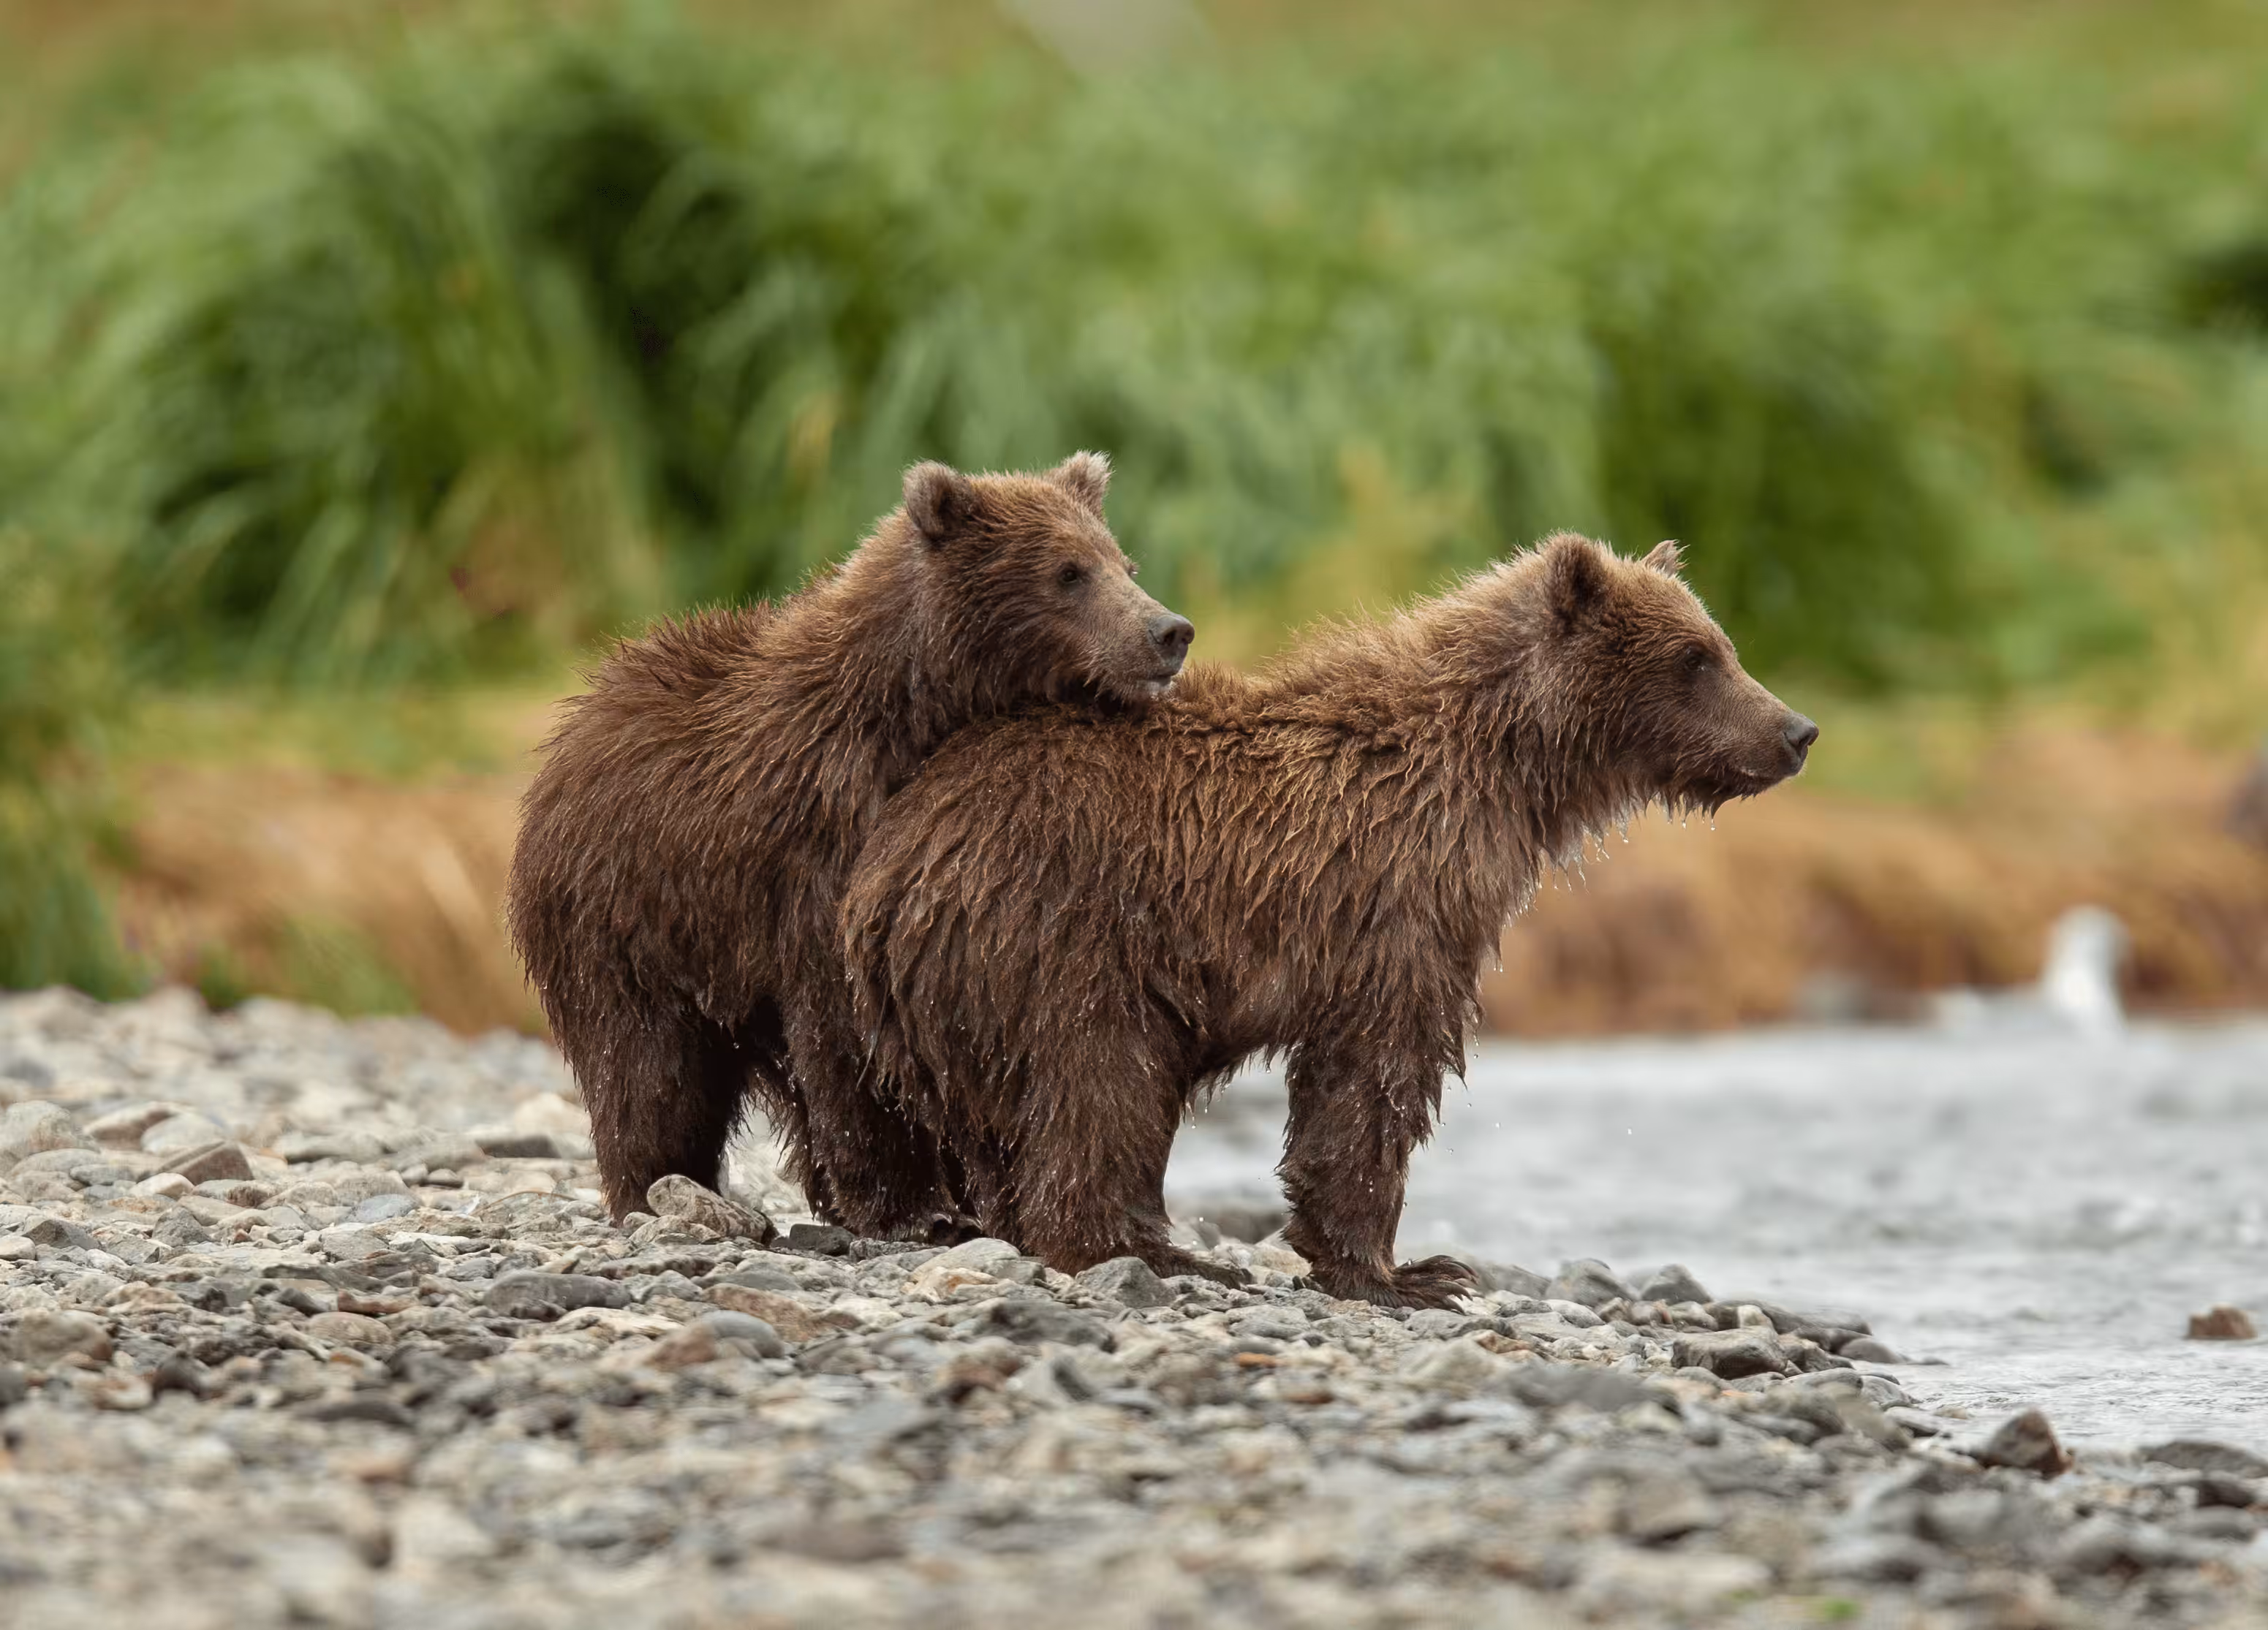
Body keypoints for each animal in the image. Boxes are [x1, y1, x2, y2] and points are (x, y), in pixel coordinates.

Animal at [506, 453, 1193, 1233]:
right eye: (1068, 572)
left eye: (1125, 563)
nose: (1168, 631)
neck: (920, 710)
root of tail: (569, 730)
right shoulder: (819, 851)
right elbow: (848, 1033)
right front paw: (910, 1203)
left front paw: (954, 1195)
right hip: (626, 921)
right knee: (650, 1070)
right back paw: (657, 1183)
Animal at [841, 533, 1816, 1305]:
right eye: (1697, 657)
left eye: (1721, 646)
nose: (1795, 730)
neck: (1499, 772)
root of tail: (889, 856)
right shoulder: (1392, 900)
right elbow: (1374, 1077)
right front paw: (1407, 1272)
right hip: (1057, 931)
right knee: (1099, 1079)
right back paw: (1153, 1250)